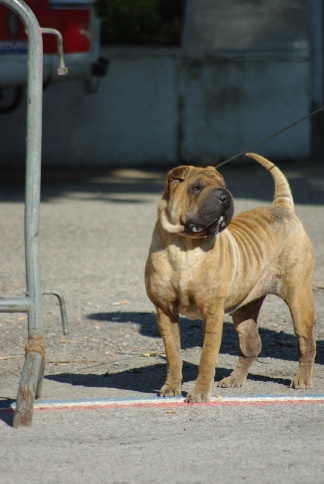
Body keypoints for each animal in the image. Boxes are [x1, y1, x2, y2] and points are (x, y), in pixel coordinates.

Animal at [145, 153, 316, 402]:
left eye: (222, 185)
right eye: (196, 187)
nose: (225, 197)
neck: (184, 246)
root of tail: (282, 207)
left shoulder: (212, 313)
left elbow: (207, 358)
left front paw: (199, 393)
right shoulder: (165, 312)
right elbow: (173, 354)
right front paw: (171, 387)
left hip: (298, 298)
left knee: (306, 342)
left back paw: (302, 379)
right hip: (244, 309)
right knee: (251, 345)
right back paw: (234, 379)